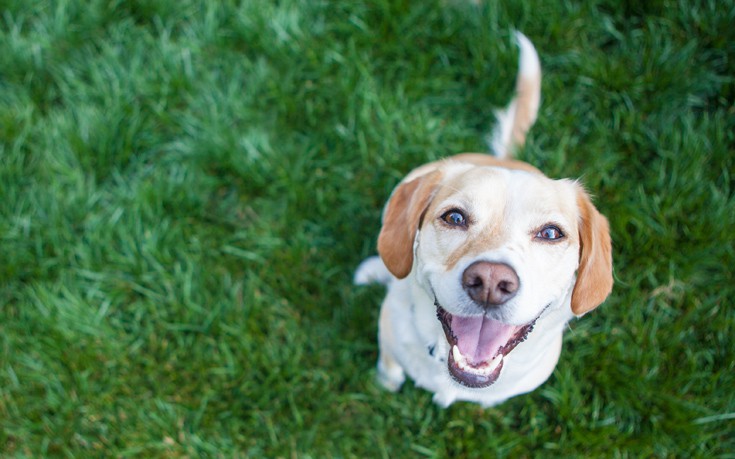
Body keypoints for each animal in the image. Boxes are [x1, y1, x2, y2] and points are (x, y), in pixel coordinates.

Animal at [356, 32, 616, 408]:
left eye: (551, 233)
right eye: (454, 217)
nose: (491, 282)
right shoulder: (389, 340)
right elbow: (389, 368)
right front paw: (385, 384)